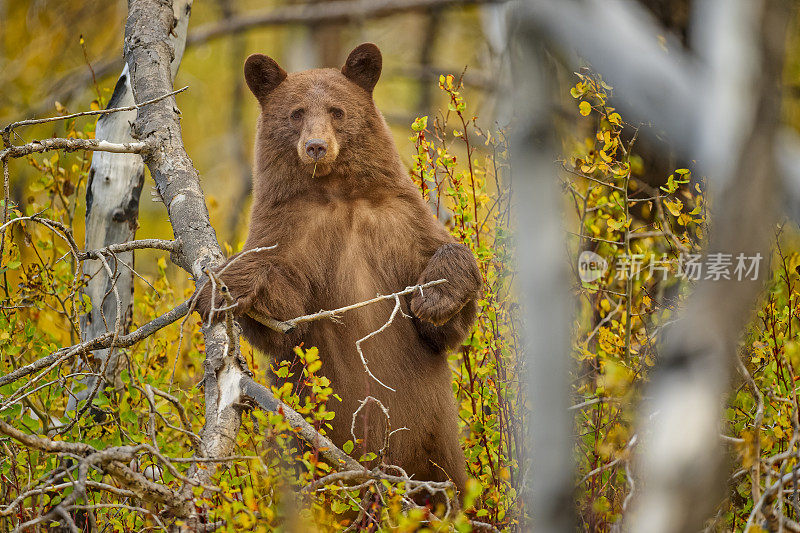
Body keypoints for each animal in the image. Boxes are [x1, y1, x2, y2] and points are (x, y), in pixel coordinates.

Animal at [194, 42, 482, 498]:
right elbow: (287, 318)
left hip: (437, 452)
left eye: (336, 110)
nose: (316, 146)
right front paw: (225, 285)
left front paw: (434, 298)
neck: (337, 194)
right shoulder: (292, 230)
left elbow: (444, 316)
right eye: (296, 113)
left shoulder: (399, 221)